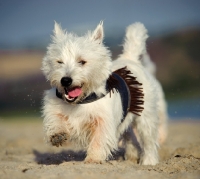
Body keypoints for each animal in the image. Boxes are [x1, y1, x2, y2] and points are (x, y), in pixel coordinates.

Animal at [41, 21, 166, 165]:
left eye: (82, 62)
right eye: (59, 62)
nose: (65, 80)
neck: (81, 100)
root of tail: (130, 59)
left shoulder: (103, 120)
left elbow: (99, 140)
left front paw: (93, 159)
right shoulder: (55, 107)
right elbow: (55, 119)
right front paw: (57, 135)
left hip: (145, 115)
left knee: (148, 139)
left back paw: (148, 161)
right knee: (130, 135)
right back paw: (132, 156)